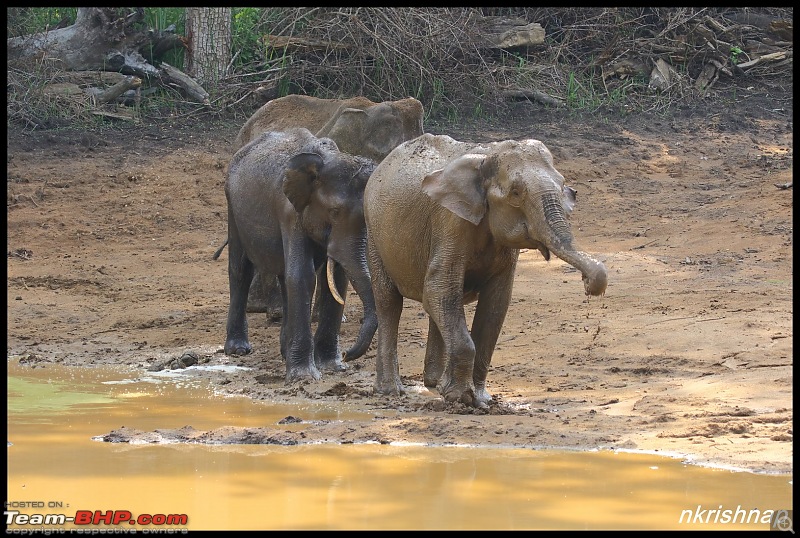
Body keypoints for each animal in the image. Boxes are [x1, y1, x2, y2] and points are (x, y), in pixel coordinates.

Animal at [222, 126, 378, 382]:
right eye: (334, 211)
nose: (347, 354)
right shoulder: (289, 212)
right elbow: (303, 275)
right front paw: (304, 376)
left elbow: (336, 279)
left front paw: (332, 367)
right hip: (231, 206)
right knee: (241, 269)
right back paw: (238, 349)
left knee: (284, 277)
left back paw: (285, 352)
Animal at [362, 134, 608, 406]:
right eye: (515, 193)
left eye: (563, 184)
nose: (588, 282)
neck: (487, 156)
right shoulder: (451, 222)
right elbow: (439, 288)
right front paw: (461, 398)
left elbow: (495, 303)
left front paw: (480, 399)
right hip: (373, 233)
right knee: (390, 302)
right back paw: (391, 391)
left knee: (437, 306)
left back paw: (434, 385)